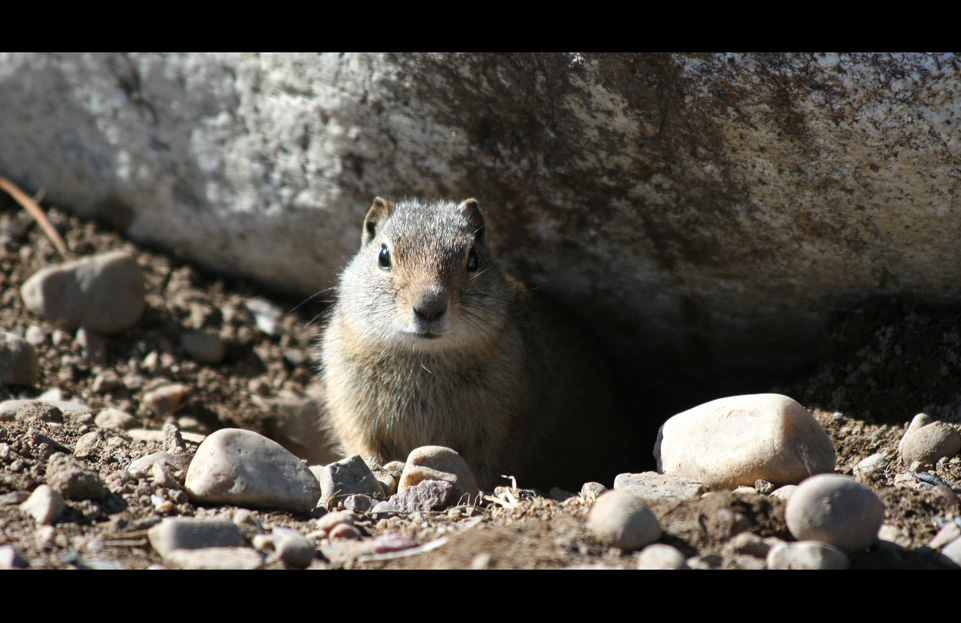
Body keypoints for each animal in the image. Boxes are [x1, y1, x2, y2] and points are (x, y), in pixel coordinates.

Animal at [316, 197, 632, 490]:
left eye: (473, 259)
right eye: (383, 256)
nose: (429, 307)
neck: (425, 358)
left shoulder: (500, 426)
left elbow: (488, 465)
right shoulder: (353, 413)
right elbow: (364, 449)